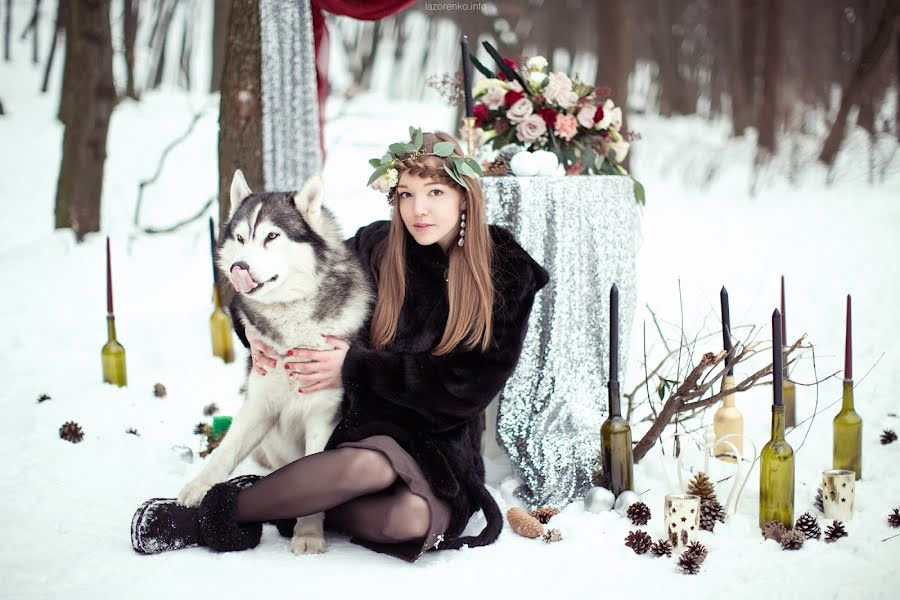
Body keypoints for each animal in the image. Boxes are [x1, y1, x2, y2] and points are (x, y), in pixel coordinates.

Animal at [174, 169, 370, 552]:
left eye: (272, 236)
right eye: (240, 237)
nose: (240, 266)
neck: (291, 324)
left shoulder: (322, 415)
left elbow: (314, 478)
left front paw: (308, 534)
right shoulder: (258, 404)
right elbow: (225, 451)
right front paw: (198, 486)